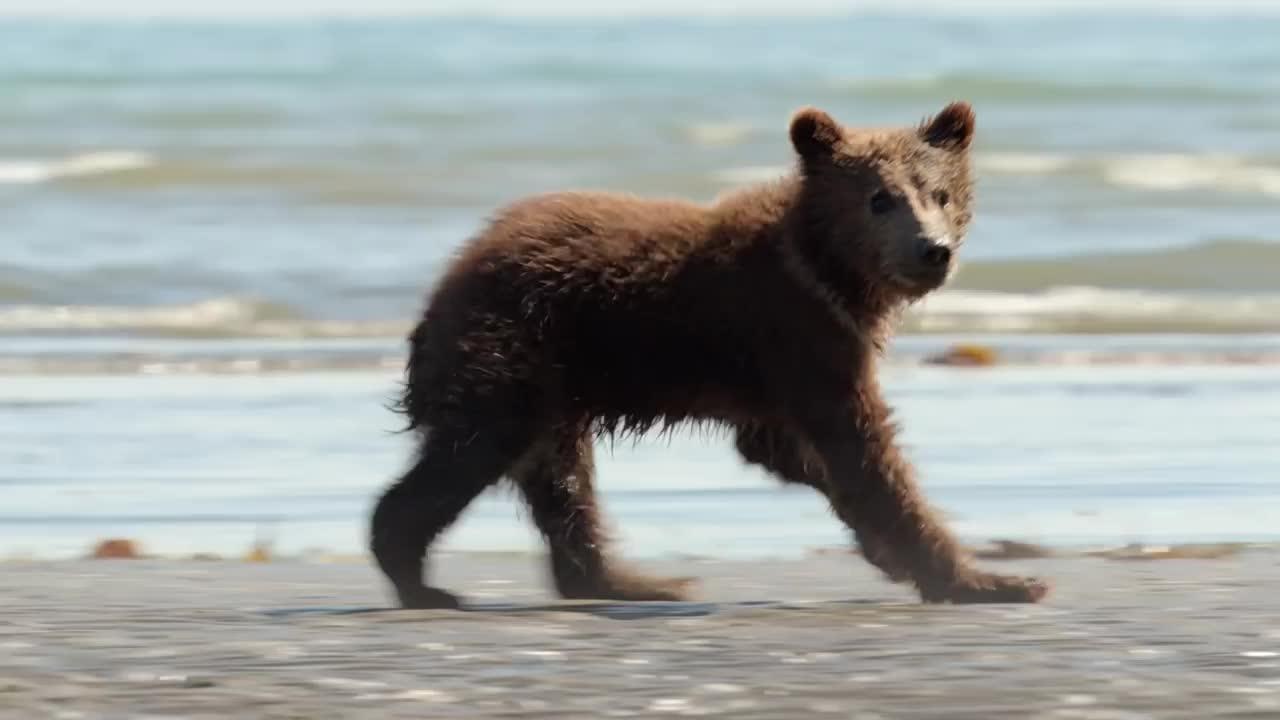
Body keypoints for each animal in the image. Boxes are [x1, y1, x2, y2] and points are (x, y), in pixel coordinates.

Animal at [370, 101, 1049, 609]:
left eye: (939, 192)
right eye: (879, 198)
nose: (932, 250)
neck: (830, 271)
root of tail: (446, 282)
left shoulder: (789, 366)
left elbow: (790, 451)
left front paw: (898, 555)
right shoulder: (798, 332)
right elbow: (863, 450)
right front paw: (988, 578)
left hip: (557, 376)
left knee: (561, 479)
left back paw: (630, 582)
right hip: (515, 350)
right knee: (478, 450)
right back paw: (420, 577)